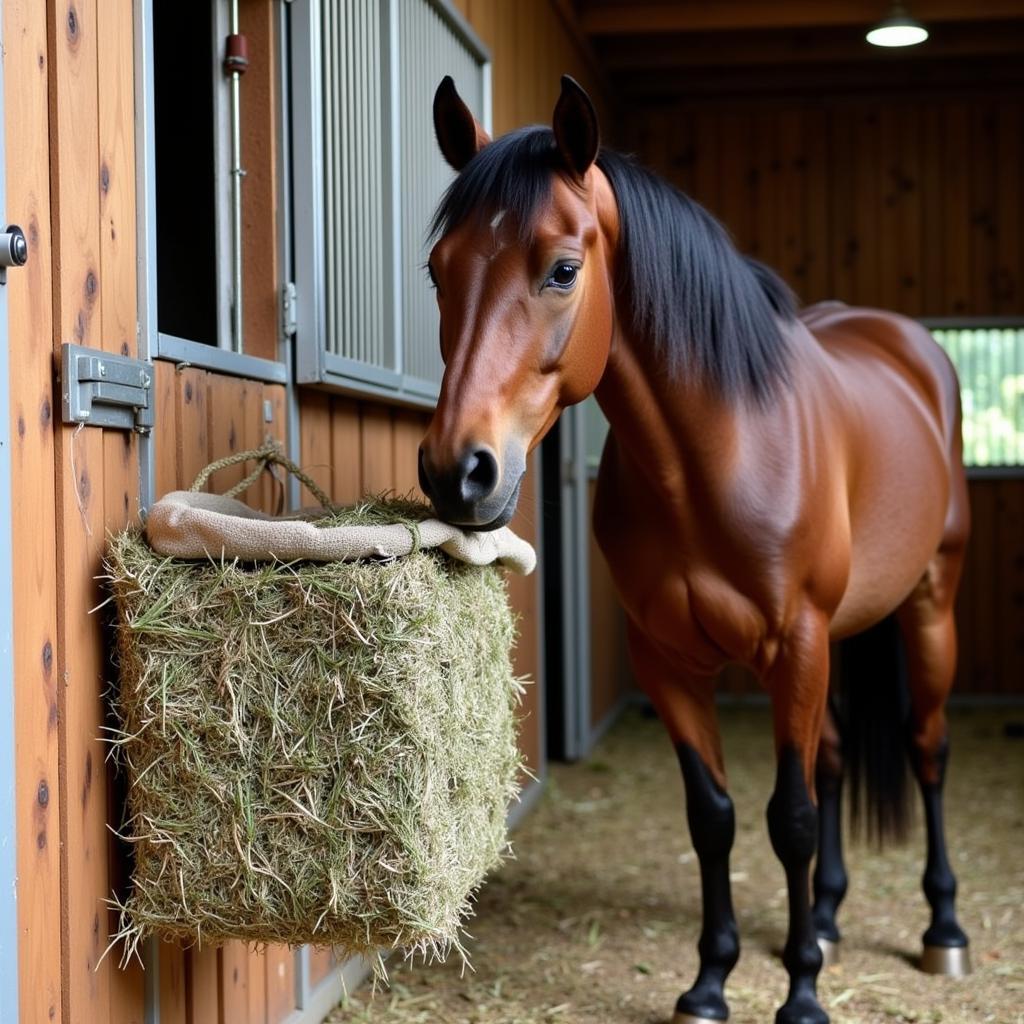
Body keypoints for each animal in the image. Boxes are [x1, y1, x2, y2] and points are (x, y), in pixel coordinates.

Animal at [415, 74, 966, 1024]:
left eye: (563, 269)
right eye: (438, 269)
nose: (460, 471)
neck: (718, 456)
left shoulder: (798, 645)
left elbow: (790, 819)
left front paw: (802, 997)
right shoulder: (667, 658)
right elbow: (715, 815)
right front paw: (712, 981)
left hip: (929, 603)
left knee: (925, 750)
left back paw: (942, 929)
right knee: (834, 758)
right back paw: (824, 921)